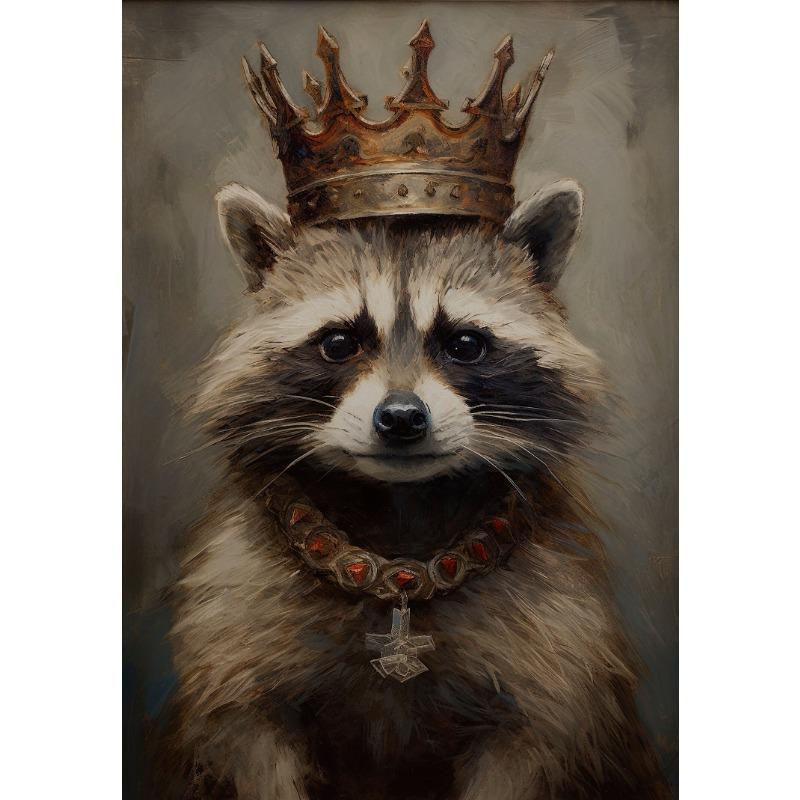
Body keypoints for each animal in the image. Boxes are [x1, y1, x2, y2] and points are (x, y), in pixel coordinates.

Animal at [163, 179, 669, 799]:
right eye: (339, 342)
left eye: (466, 343)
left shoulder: (555, 655)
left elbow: (529, 751)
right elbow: (251, 750)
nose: (402, 418)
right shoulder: (236, 630)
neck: (401, 522)